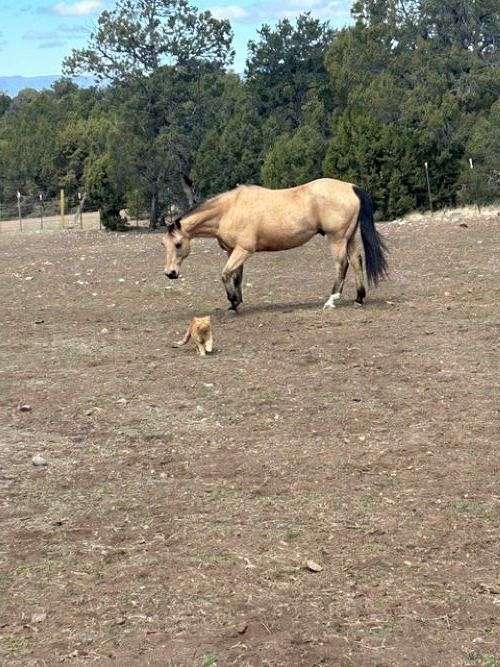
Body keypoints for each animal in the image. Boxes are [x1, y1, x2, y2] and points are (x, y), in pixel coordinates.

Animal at [161, 178, 387, 311]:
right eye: (164, 244)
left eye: (178, 244)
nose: (170, 273)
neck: (229, 209)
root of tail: (352, 187)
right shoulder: (233, 251)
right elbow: (236, 276)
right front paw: (236, 303)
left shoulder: (244, 250)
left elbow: (225, 274)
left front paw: (233, 300)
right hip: (349, 237)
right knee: (357, 261)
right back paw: (359, 298)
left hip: (337, 239)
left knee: (342, 264)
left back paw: (332, 300)